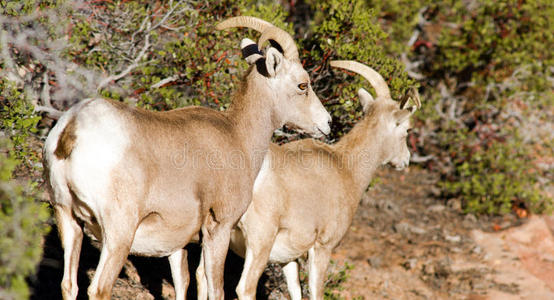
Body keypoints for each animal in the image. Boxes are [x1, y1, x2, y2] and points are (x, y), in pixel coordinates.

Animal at [44, 16, 328, 300]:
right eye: (303, 85)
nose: (327, 123)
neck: (238, 135)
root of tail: (72, 128)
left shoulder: (178, 246)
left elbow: (186, 282)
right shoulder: (219, 228)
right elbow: (216, 289)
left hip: (68, 219)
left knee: (69, 285)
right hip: (118, 234)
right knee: (99, 288)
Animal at [196, 59, 420, 298]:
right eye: (407, 130)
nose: (405, 160)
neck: (344, 167)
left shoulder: (289, 259)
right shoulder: (322, 247)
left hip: (214, 236)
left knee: (202, 276)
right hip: (259, 242)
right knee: (245, 287)